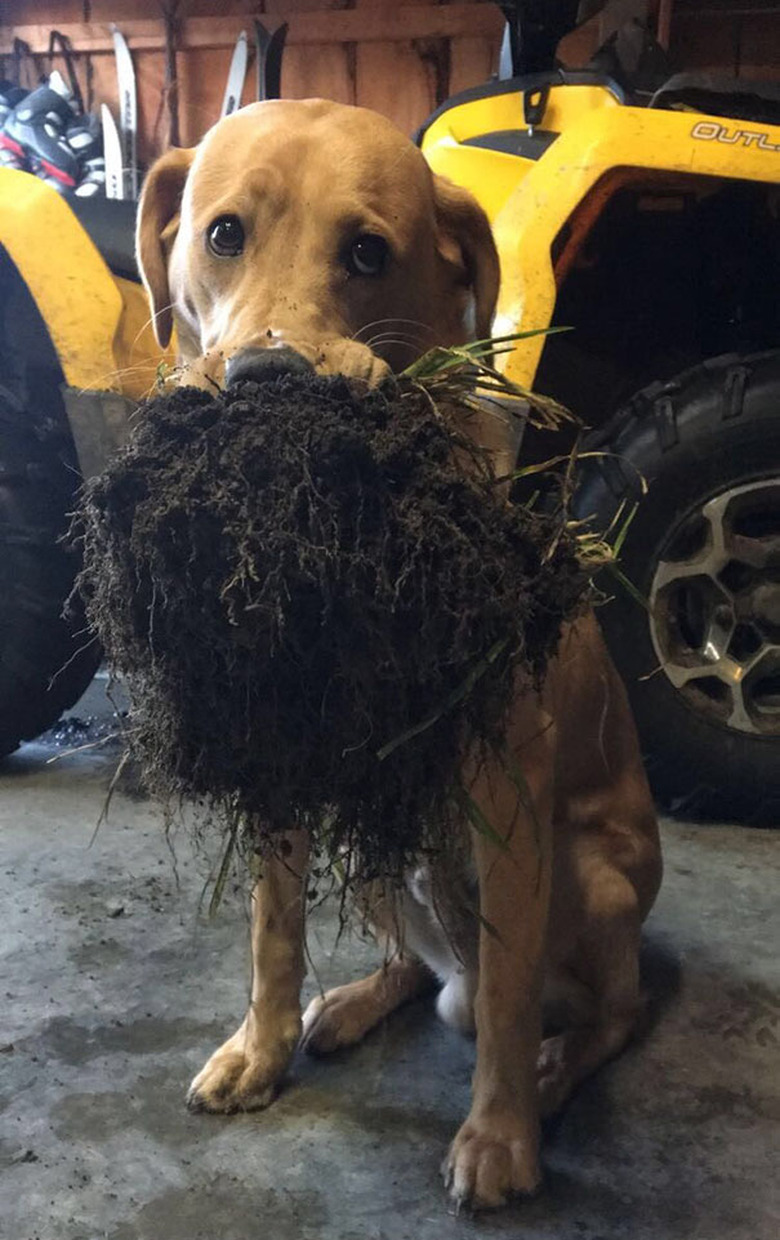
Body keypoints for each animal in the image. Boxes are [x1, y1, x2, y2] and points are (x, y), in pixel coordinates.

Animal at [137, 99, 659, 1210]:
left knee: (604, 1012)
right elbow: (272, 934)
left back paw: (554, 1071)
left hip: (590, 874)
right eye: (224, 233)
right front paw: (260, 1048)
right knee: (419, 967)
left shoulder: (509, 799)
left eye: (368, 253)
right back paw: (352, 1002)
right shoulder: (282, 759)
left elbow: (507, 999)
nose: (269, 381)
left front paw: (500, 1135)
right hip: (371, 840)